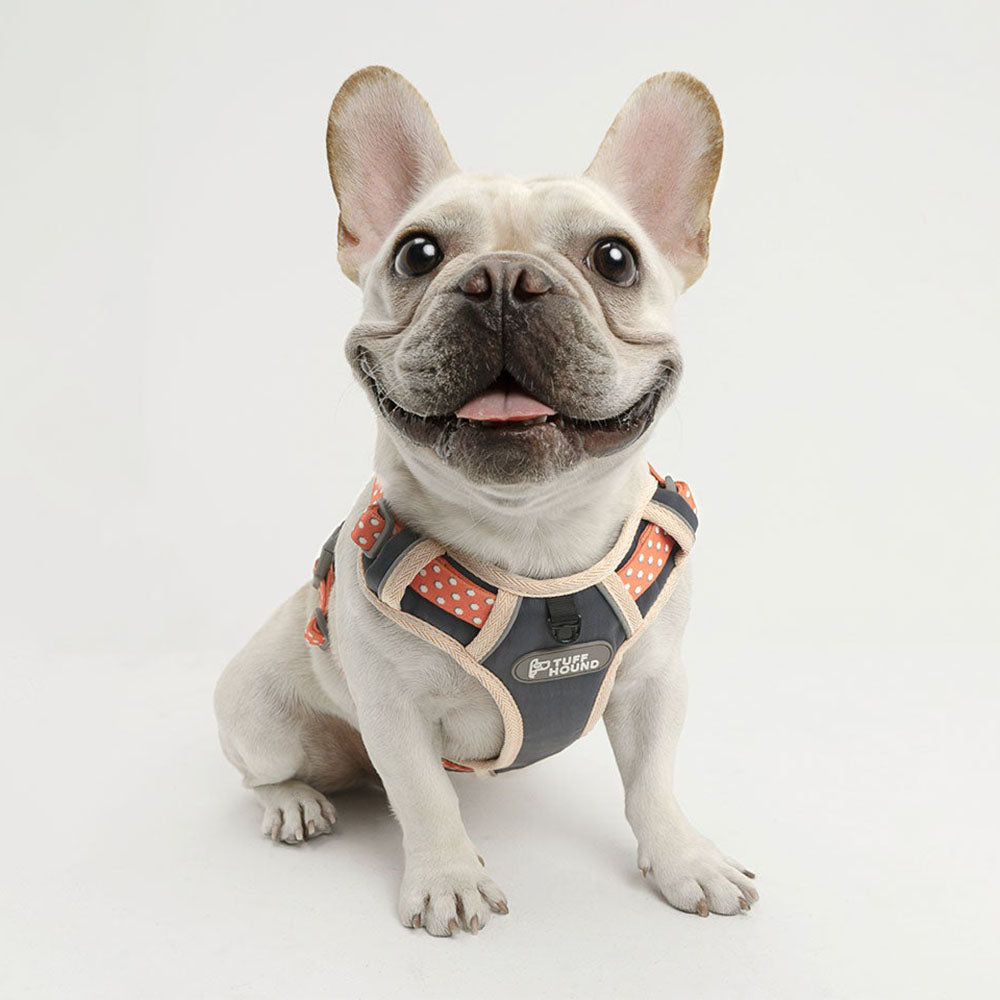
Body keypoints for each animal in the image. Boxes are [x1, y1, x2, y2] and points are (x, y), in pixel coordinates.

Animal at [213, 66, 756, 932]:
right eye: (417, 253)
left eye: (615, 259)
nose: (503, 279)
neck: (534, 537)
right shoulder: (393, 713)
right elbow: (425, 799)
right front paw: (447, 879)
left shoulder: (654, 683)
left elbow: (652, 784)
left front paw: (683, 860)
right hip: (261, 716)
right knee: (261, 772)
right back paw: (294, 802)